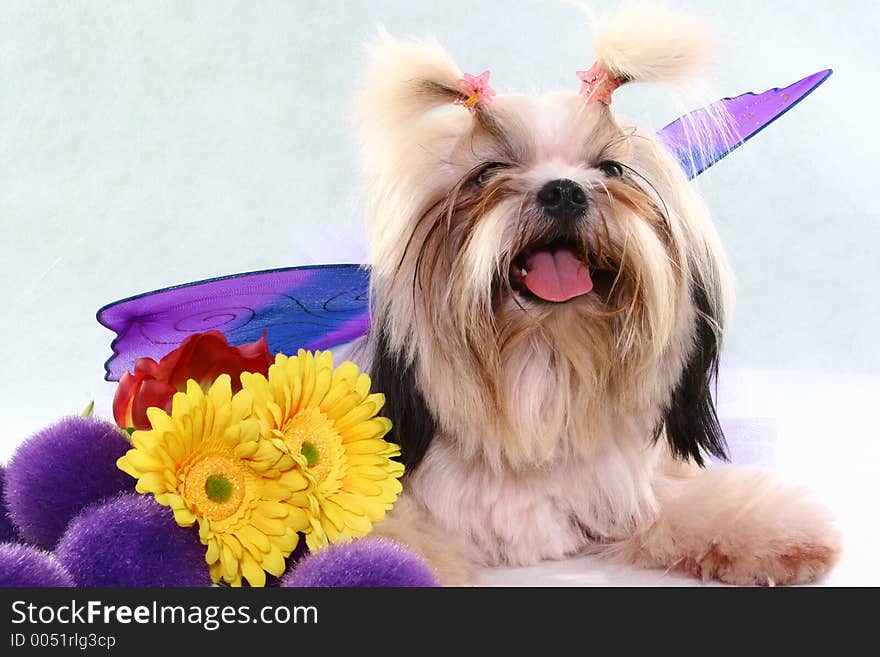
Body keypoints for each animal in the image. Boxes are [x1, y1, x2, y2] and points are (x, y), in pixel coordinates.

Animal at [348, 5, 844, 584]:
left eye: (610, 168)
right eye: (487, 173)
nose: (563, 190)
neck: (546, 377)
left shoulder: (630, 489)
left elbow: (693, 501)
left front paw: (775, 529)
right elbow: (396, 540)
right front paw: (380, 567)